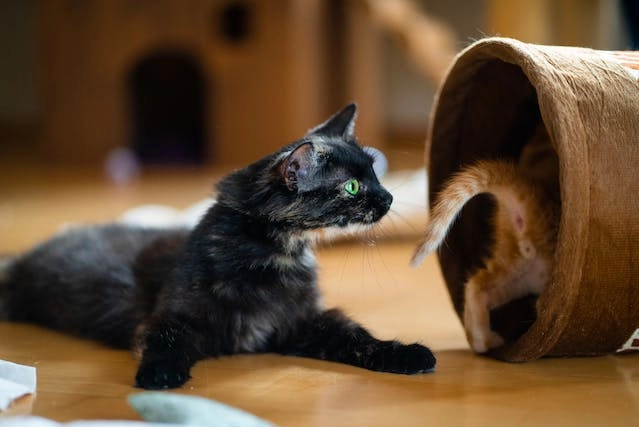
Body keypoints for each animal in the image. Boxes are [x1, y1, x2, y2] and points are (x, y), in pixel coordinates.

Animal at [0, 104, 436, 392]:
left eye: (374, 172)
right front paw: (158, 375)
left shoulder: (303, 322)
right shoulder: (170, 316)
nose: (390, 198)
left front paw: (406, 355)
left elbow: (357, 338)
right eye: (352, 186)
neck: (274, 257)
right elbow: (165, 339)